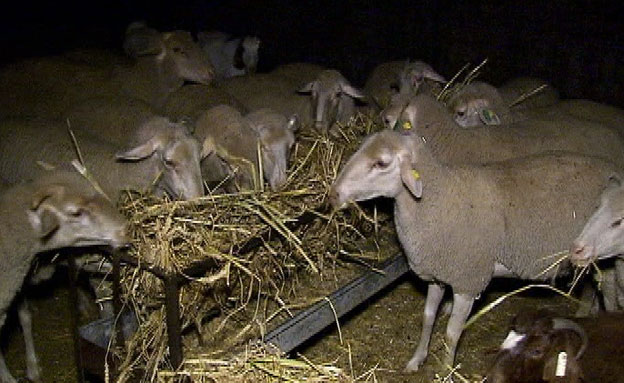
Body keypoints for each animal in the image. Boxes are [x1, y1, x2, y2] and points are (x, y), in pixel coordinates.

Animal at [330, 128, 620, 372]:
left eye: (381, 163)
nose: (334, 194)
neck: (438, 198)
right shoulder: (438, 273)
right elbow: (427, 317)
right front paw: (416, 360)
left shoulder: (467, 280)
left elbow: (451, 333)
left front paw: (445, 370)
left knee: (607, 288)